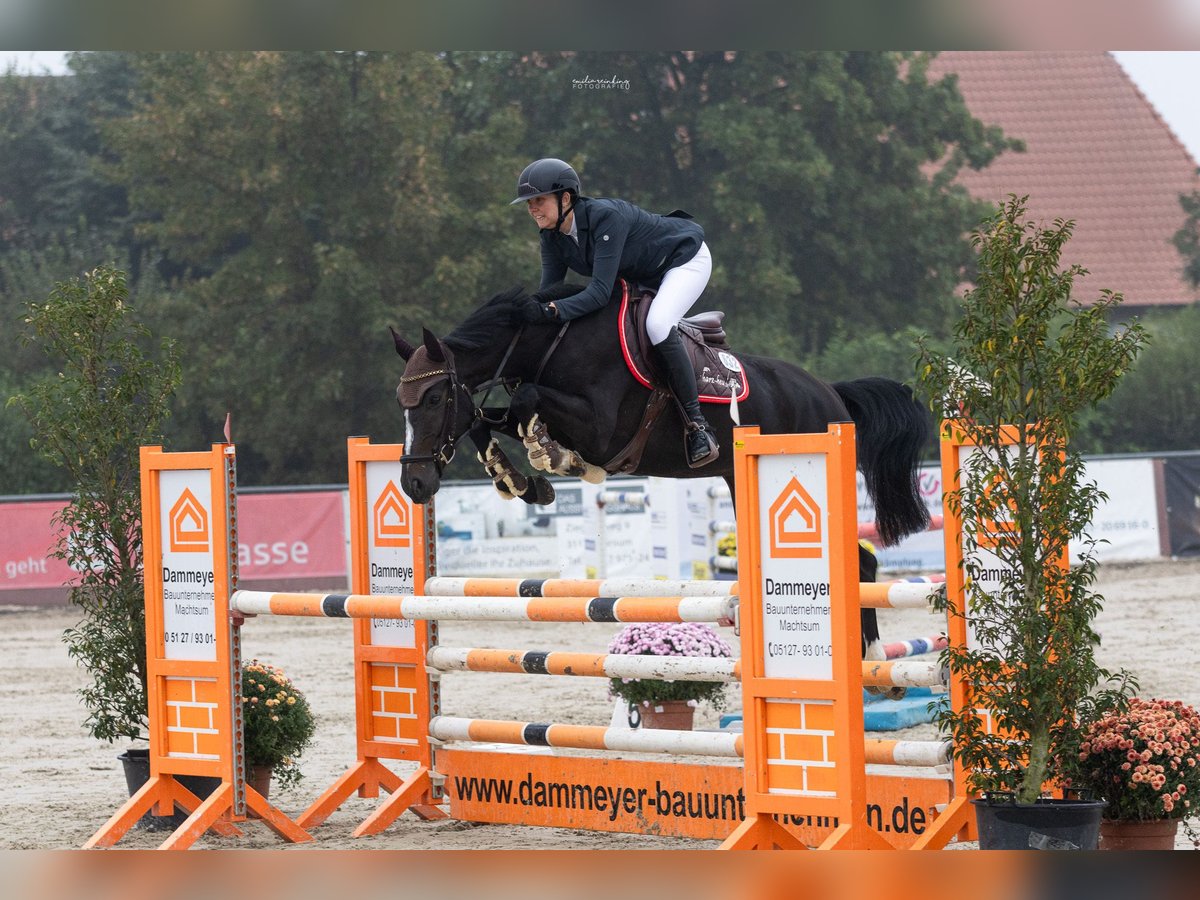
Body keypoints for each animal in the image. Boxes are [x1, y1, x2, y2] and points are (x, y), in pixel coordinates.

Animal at [388, 282, 931, 681]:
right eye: (402, 404)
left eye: (433, 399)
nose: (414, 484)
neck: (547, 346)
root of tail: (831, 394)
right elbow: (487, 417)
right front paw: (518, 480)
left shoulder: (600, 428)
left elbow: (526, 404)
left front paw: (554, 458)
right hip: (742, 482)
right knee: (859, 560)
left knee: (860, 561)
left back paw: (874, 659)